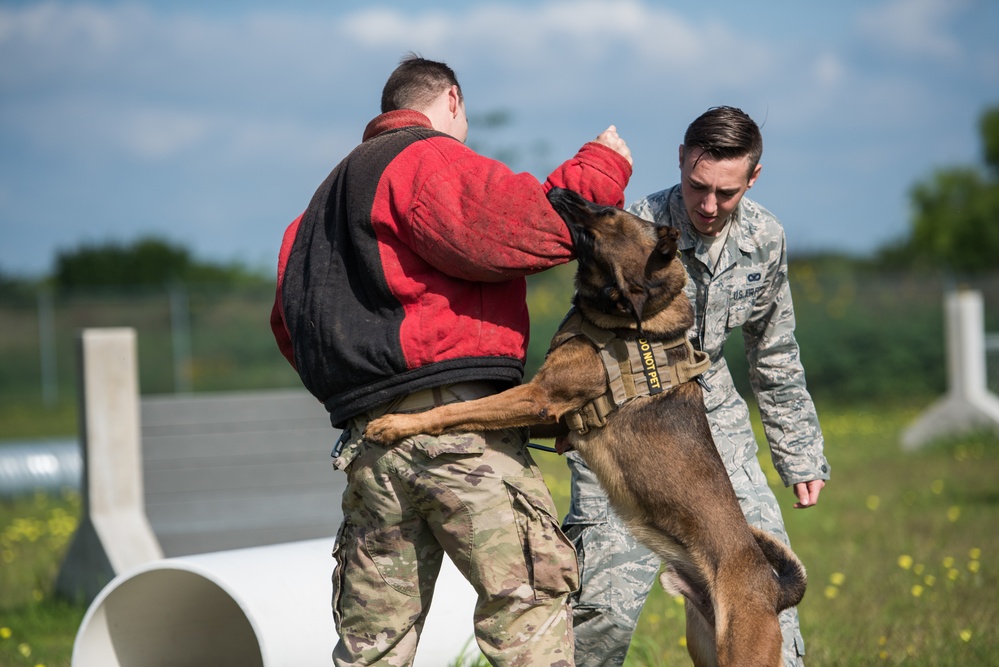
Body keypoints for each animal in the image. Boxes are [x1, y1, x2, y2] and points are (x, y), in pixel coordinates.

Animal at [364, 185, 808, 664]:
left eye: (607, 212)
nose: (559, 189)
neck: (631, 315)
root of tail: (773, 590)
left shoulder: (539, 398)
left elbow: (455, 411)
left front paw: (393, 424)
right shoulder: (554, 415)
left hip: (739, 649)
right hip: (702, 645)